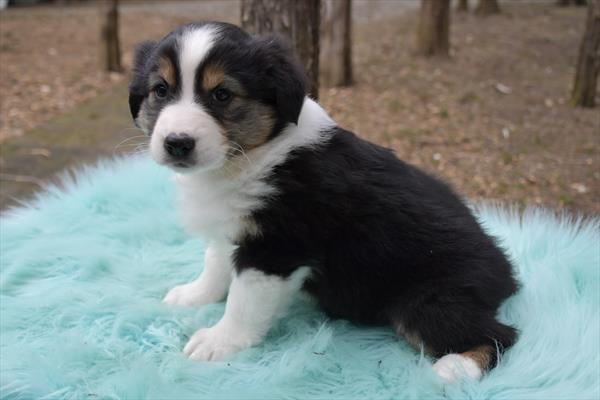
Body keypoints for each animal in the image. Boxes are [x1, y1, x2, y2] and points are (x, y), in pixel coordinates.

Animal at [129, 22, 516, 384]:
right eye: (160, 90)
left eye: (222, 94)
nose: (177, 143)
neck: (256, 155)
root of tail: (505, 270)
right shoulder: (234, 227)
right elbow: (215, 263)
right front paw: (194, 295)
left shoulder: (275, 248)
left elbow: (243, 302)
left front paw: (218, 341)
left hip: (428, 298)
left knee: (501, 334)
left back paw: (454, 369)